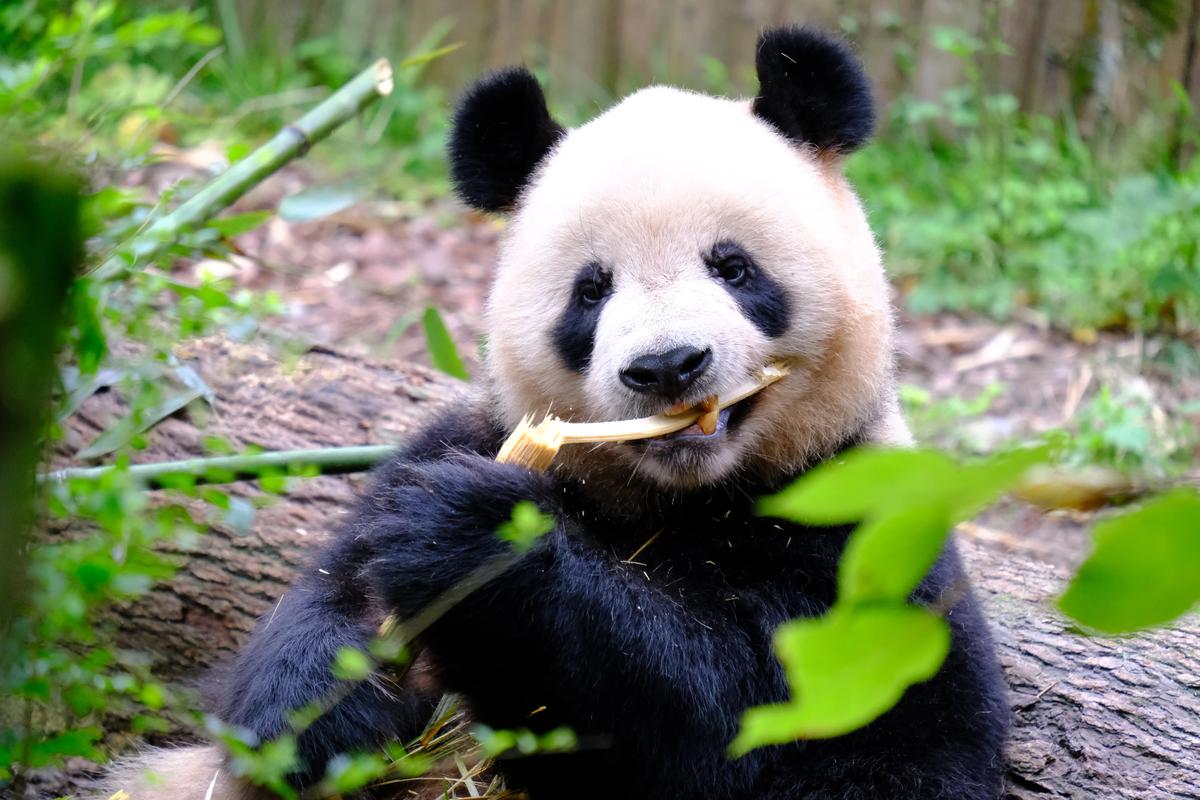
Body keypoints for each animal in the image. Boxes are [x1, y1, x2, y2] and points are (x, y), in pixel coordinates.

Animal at [112, 25, 1009, 800]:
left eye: (733, 267)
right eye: (591, 291)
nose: (667, 366)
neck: (682, 496)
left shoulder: (855, 535)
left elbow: (730, 719)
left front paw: (477, 539)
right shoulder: (462, 435)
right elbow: (317, 615)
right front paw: (336, 700)